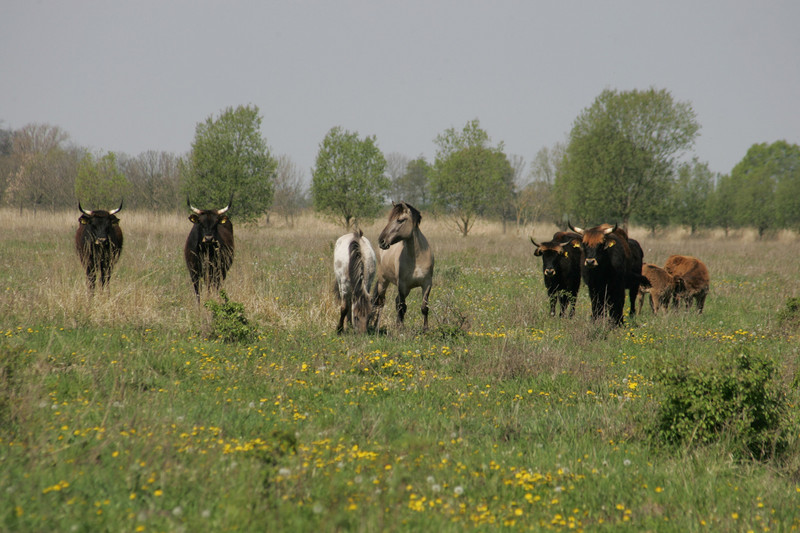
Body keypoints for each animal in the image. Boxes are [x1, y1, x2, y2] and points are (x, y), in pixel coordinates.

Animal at [372, 202, 434, 330]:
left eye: (400, 220)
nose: (381, 241)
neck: (416, 259)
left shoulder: (427, 284)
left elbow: (424, 307)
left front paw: (425, 329)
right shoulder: (401, 285)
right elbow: (402, 307)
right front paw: (400, 329)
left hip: (407, 288)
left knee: (395, 302)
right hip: (383, 282)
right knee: (381, 303)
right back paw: (377, 326)